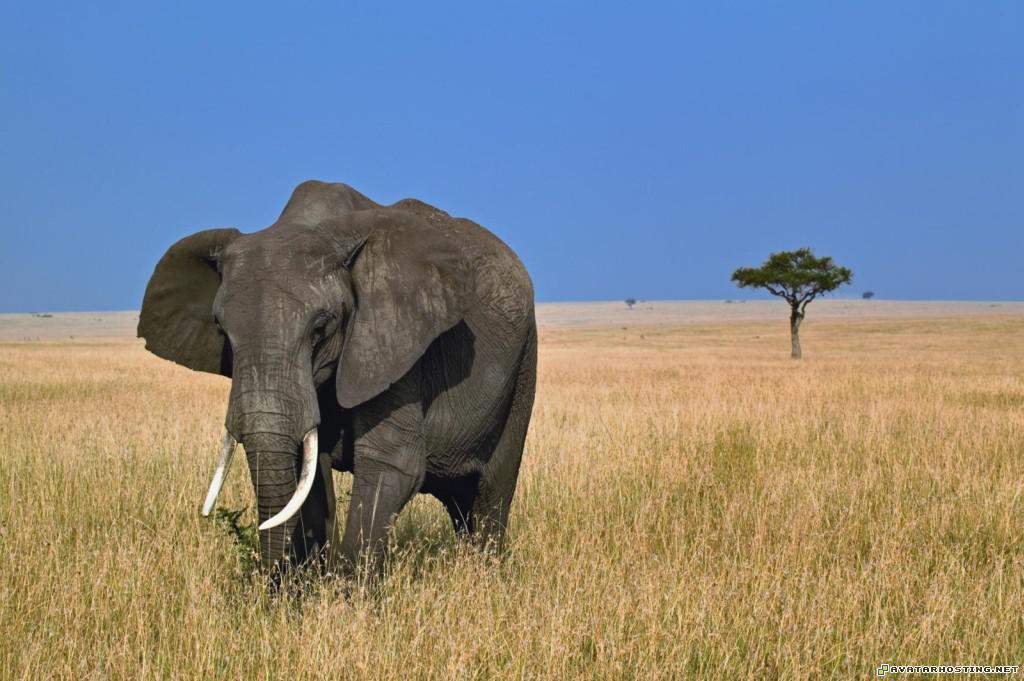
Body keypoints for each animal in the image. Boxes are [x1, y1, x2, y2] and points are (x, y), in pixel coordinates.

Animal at [138, 180, 536, 576]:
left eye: (320, 328)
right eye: (222, 330)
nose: (271, 580)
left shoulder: (393, 340)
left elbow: (392, 462)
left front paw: (346, 588)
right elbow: (310, 474)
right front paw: (306, 583)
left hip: (523, 365)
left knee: (490, 492)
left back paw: (484, 572)